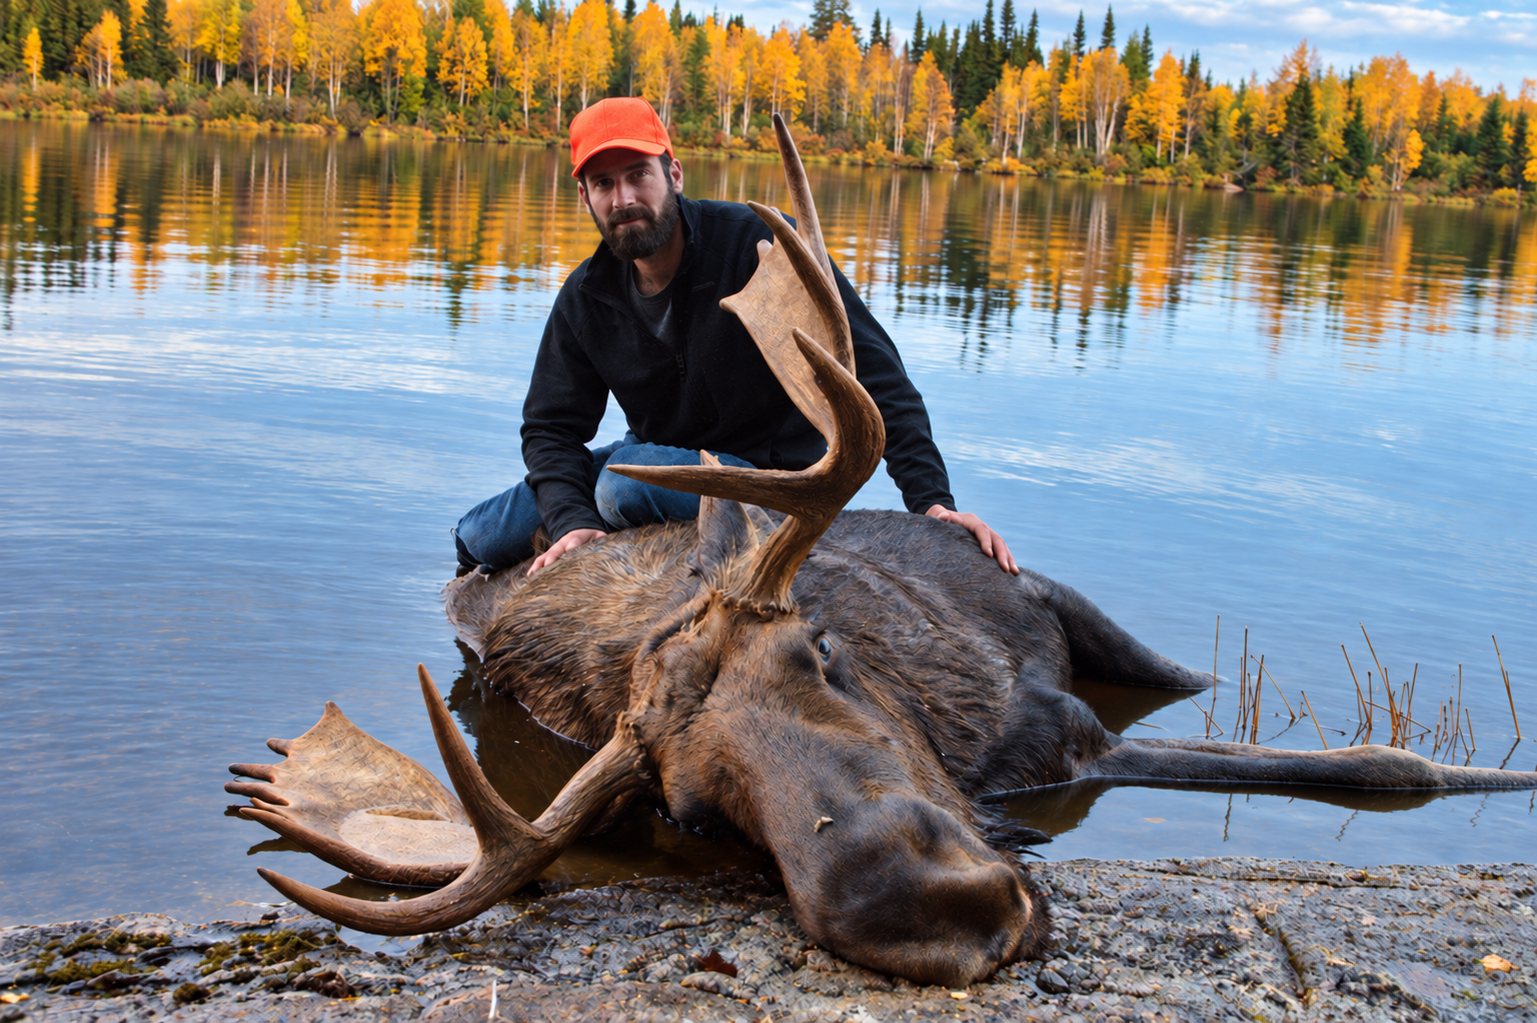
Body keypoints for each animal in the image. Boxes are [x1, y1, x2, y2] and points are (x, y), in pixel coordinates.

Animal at [227, 116, 1537, 988]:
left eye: (821, 654)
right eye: (690, 813)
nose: (934, 904)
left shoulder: (1064, 723)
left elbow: (1380, 762)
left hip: (1060, 593)